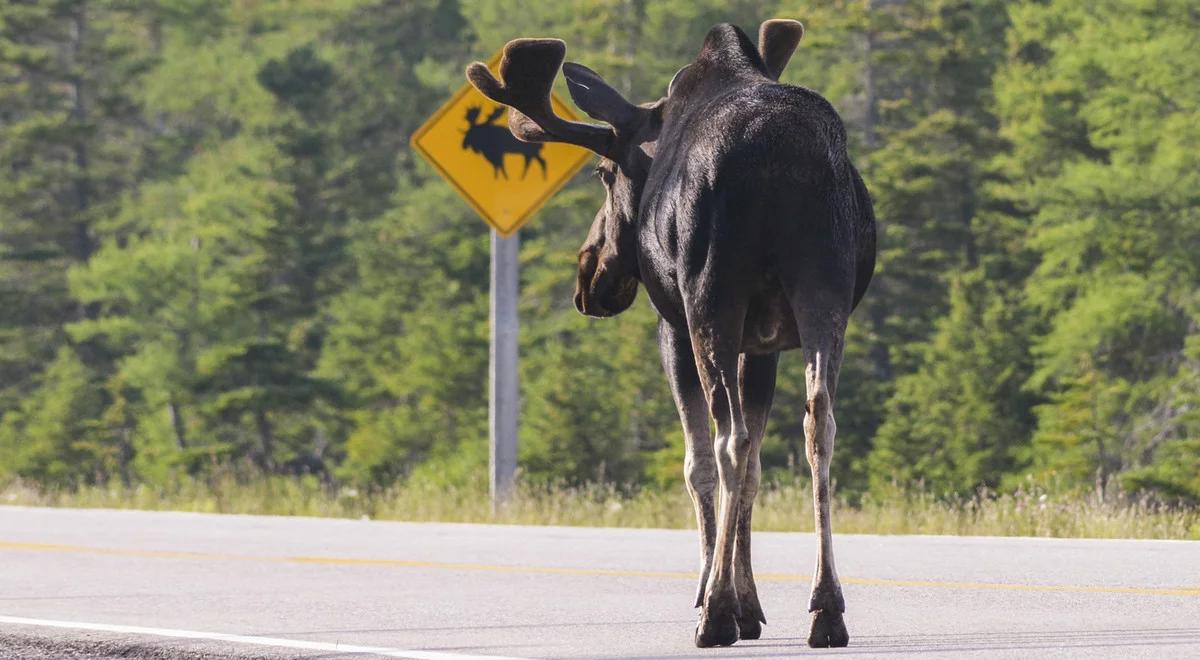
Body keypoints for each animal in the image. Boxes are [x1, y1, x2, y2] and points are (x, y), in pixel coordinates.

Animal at [465, 19, 873, 652]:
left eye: (604, 173)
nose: (589, 278)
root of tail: (776, 158)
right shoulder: (765, 343)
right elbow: (757, 467)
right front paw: (752, 604)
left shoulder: (676, 328)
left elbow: (698, 461)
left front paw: (717, 597)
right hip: (823, 289)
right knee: (819, 425)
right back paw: (827, 608)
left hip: (711, 298)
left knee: (729, 441)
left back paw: (717, 614)